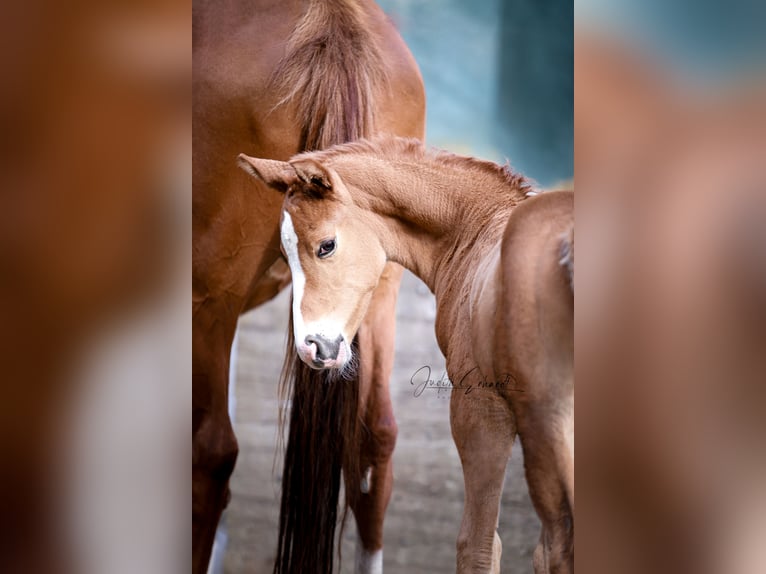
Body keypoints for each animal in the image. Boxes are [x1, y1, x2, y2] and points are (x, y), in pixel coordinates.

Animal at [240, 137, 576, 572]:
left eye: (326, 245)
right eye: (285, 257)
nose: (311, 347)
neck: (479, 228)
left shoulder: (480, 408)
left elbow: (479, 545)